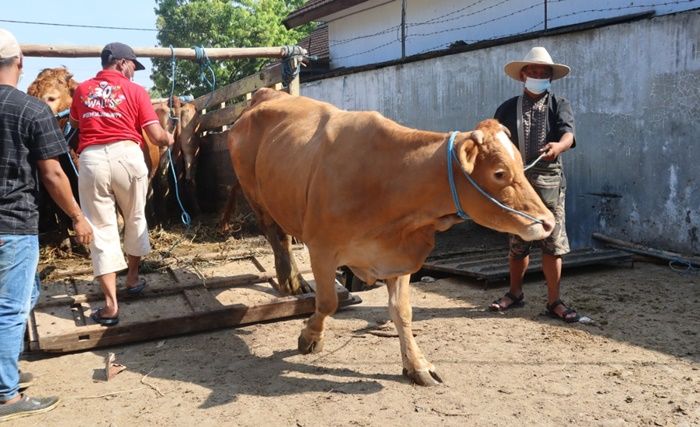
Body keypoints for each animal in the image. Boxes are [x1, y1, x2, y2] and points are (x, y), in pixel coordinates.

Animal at [228, 89, 552, 388]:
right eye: (499, 173)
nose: (548, 222)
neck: (388, 180)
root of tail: (264, 94)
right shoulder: (322, 249)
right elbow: (328, 302)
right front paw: (309, 338)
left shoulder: (398, 255)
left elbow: (403, 312)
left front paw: (417, 364)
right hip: (256, 196)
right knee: (278, 237)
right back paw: (291, 280)